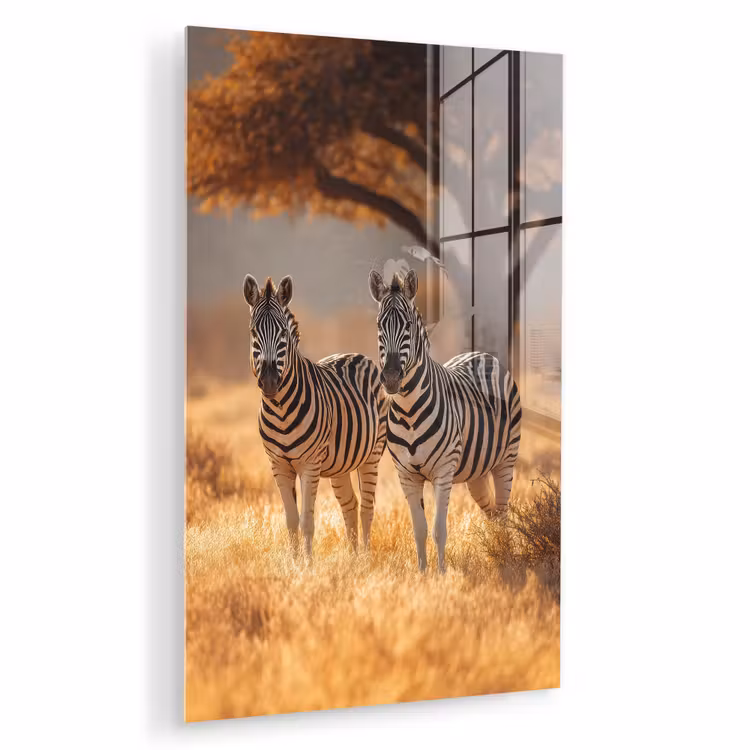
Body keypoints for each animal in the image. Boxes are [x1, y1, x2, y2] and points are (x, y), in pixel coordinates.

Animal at [243, 274, 387, 558]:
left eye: (283, 333)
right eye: (254, 332)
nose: (269, 382)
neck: (280, 410)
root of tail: (356, 354)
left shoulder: (309, 465)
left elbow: (306, 520)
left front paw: (308, 565)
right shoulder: (278, 465)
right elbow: (290, 520)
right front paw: (294, 562)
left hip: (372, 454)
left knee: (367, 507)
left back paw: (365, 557)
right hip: (341, 463)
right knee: (350, 504)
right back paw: (353, 559)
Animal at [368, 268, 522, 573]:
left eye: (408, 325)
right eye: (380, 325)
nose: (390, 378)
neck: (408, 411)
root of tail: (481, 355)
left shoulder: (443, 471)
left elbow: (439, 529)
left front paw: (441, 575)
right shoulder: (407, 475)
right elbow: (419, 529)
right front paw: (422, 574)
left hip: (506, 460)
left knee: (502, 512)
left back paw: (506, 557)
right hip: (476, 471)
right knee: (491, 511)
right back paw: (496, 552)